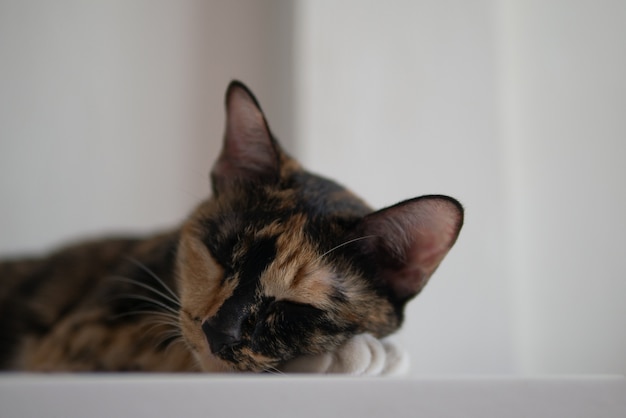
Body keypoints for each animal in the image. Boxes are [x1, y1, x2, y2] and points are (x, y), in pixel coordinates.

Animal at [0, 81, 458, 372]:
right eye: (218, 254)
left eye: (296, 307)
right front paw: (357, 355)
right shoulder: (76, 335)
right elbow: (174, 347)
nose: (218, 332)